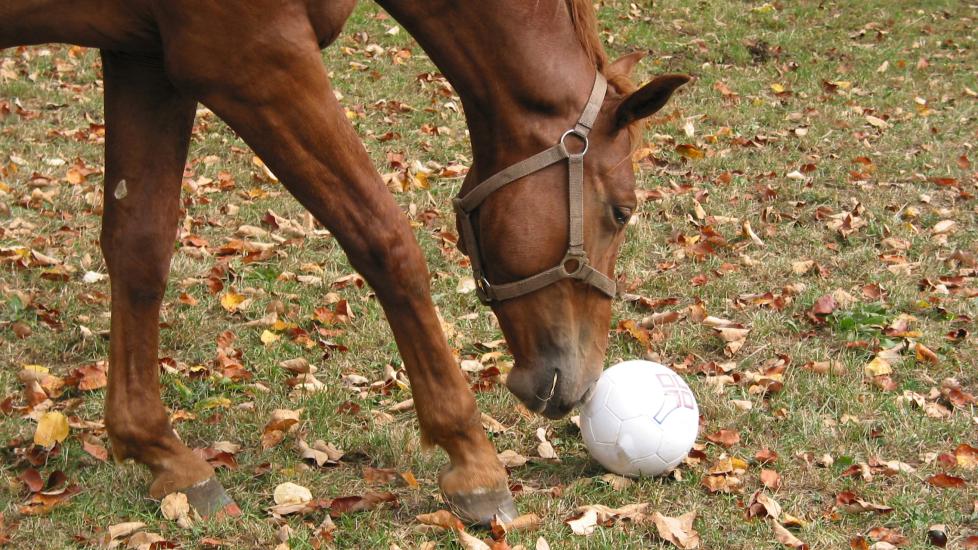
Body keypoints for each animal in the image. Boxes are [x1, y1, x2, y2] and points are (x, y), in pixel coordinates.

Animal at [0, 0, 688, 528]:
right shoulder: (250, 58)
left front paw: (162, 453)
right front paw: (473, 460)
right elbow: (385, 239)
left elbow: (140, 246)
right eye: (623, 211)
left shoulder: (145, 57)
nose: (583, 382)